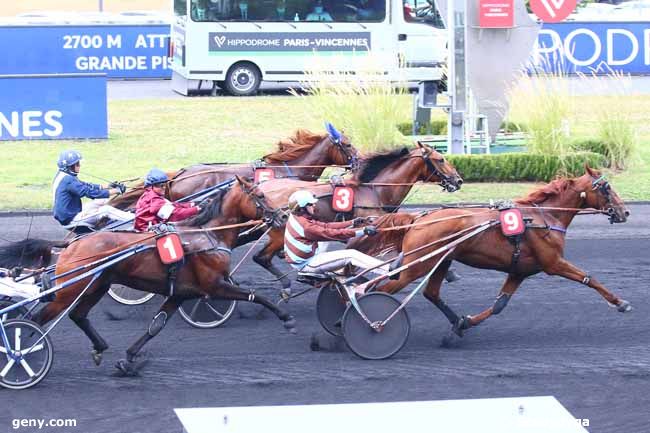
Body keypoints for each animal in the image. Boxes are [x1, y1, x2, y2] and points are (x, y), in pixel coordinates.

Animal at [29, 176, 294, 374]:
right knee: (37, 319)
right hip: (69, 290)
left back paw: (99, 347)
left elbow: (155, 326)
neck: (209, 234)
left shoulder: (181, 294)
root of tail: (71, 245)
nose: (283, 216)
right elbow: (256, 295)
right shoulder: (214, 286)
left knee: (78, 315)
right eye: (261, 195)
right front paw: (286, 318)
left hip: (96, 286)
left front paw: (129, 360)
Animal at [246, 143, 464, 290]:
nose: (458, 180)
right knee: (262, 257)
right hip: (280, 234)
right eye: (440, 159)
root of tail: (261, 189)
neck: (375, 191)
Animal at [350, 165, 628, 338]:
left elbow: (499, 305)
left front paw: (465, 322)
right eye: (605, 187)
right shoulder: (553, 263)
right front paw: (620, 302)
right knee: (379, 290)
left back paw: (456, 323)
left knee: (430, 292)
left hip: (441, 261)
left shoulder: (520, 271)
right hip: (417, 265)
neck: (544, 217)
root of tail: (419, 218)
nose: (624, 212)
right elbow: (589, 278)